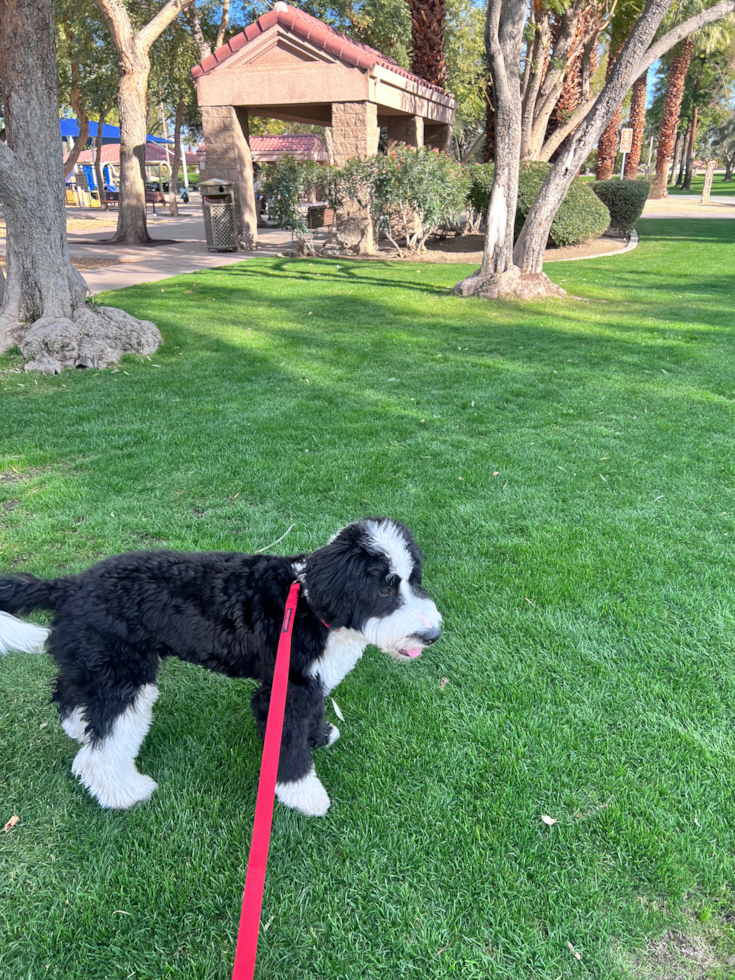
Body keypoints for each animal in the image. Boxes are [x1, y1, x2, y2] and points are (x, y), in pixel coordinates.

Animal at [0, 520, 436, 820]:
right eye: (384, 587)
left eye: (414, 580)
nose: (431, 634)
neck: (311, 604)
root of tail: (70, 584)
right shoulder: (283, 691)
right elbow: (289, 748)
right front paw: (304, 794)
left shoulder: (306, 683)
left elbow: (311, 717)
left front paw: (320, 735)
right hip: (126, 680)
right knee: (97, 753)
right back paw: (124, 793)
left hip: (98, 666)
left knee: (69, 695)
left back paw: (78, 727)